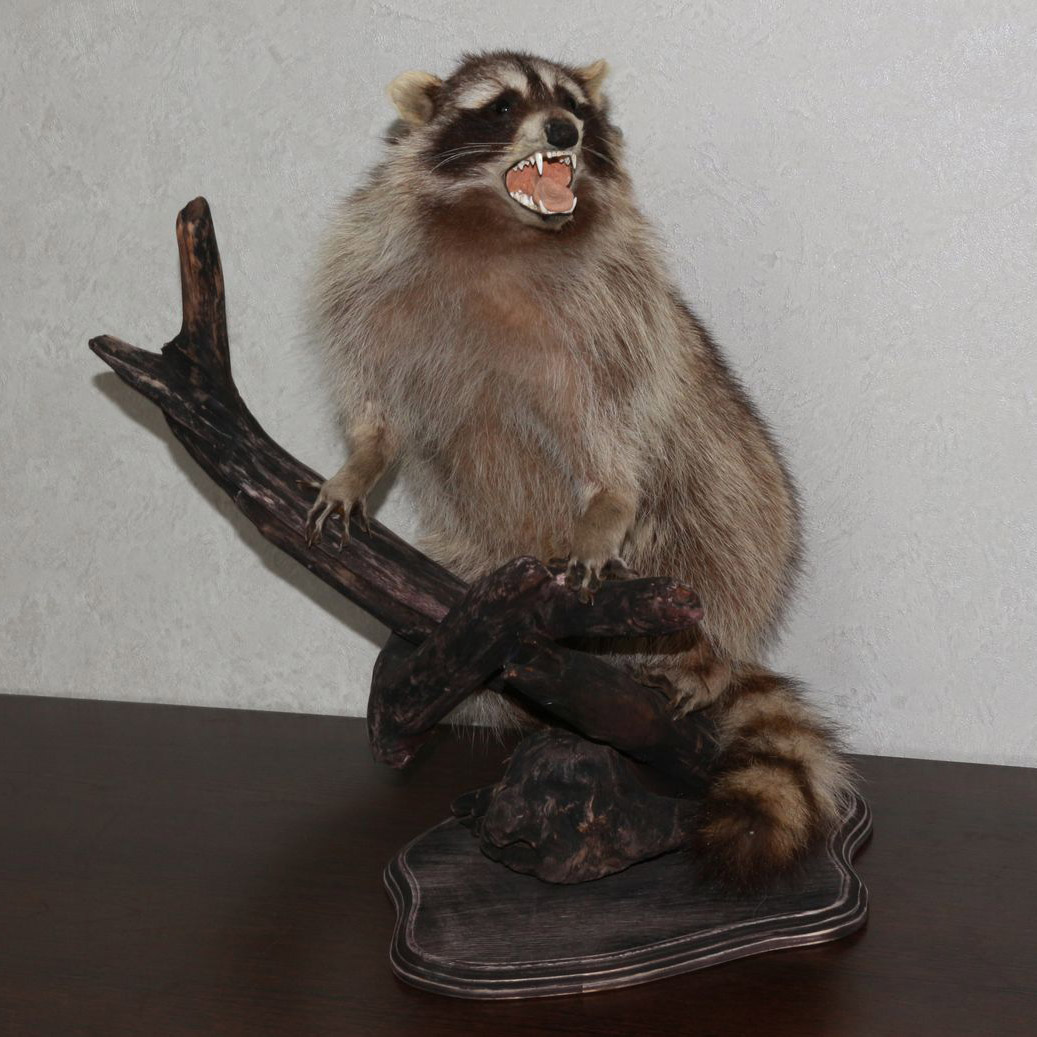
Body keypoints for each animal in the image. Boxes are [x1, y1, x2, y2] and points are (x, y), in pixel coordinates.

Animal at [308, 50, 855, 886]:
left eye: (573, 103)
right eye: (502, 106)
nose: (563, 129)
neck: (500, 233)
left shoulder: (614, 319)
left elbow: (614, 432)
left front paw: (607, 506)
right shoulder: (368, 280)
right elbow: (376, 407)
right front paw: (359, 461)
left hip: (740, 487)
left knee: (719, 522)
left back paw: (702, 651)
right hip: (482, 549)